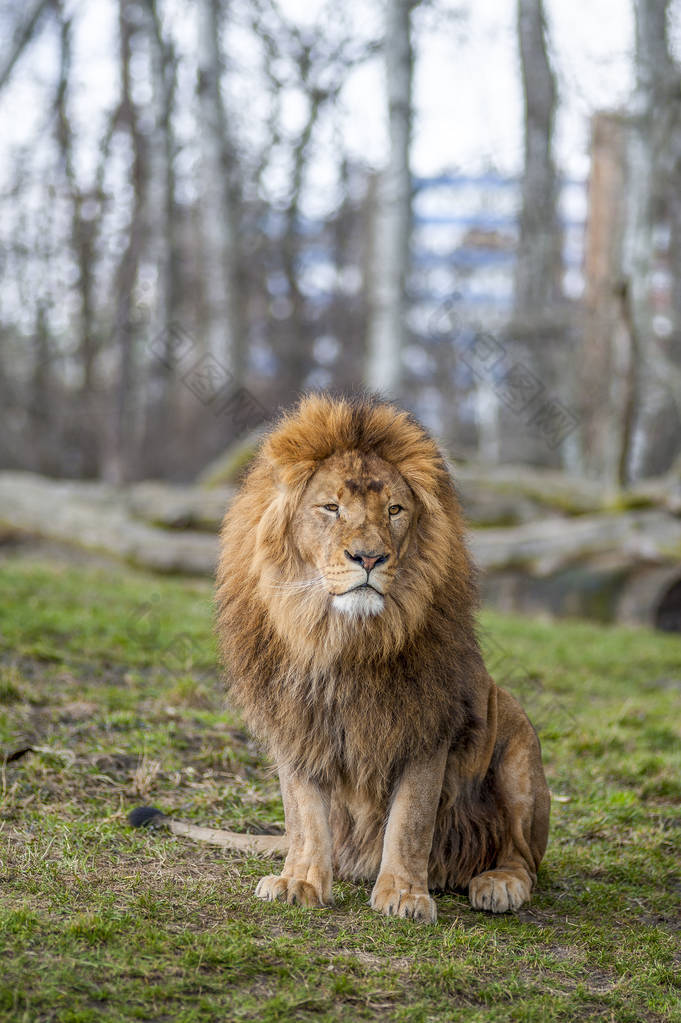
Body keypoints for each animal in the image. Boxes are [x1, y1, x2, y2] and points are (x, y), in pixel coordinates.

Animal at [129, 390, 548, 920]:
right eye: (330, 508)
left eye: (394, 510)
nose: (369, 558)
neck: (342, 637)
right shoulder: (295, 721)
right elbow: (305, 815)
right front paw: (300, 881)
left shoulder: (428, 723)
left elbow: (411, 819)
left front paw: (405, 894)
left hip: (517, 740)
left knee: (523, 857)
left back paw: (498, 882)